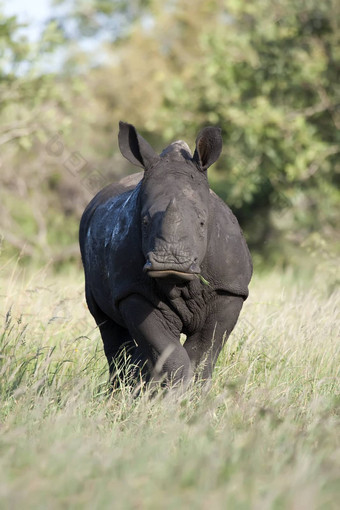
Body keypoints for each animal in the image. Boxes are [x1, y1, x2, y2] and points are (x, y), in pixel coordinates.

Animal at [78, 121, 251, 388]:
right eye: (144, 222)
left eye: (202, 223)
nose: (171, 262)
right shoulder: (133, 290)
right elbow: (169, 353)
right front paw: (173, 393)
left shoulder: (230, 289)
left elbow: (203, 353)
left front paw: (192, 393)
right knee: (109, 328)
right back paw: (122, 390)